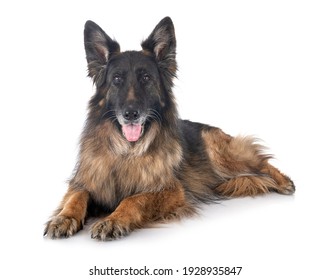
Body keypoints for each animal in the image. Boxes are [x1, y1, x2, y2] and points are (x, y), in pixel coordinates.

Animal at [44, 17, 296, 241]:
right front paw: (64, 218)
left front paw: (113, 220)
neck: (127, 152)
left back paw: (284, 182)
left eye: (146, 78)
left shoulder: (170, 190)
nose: (131, 114)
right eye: (116, 79)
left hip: (223, 155)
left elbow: (133, 199)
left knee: (261, 161)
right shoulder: (85, 180)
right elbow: (76, 196)